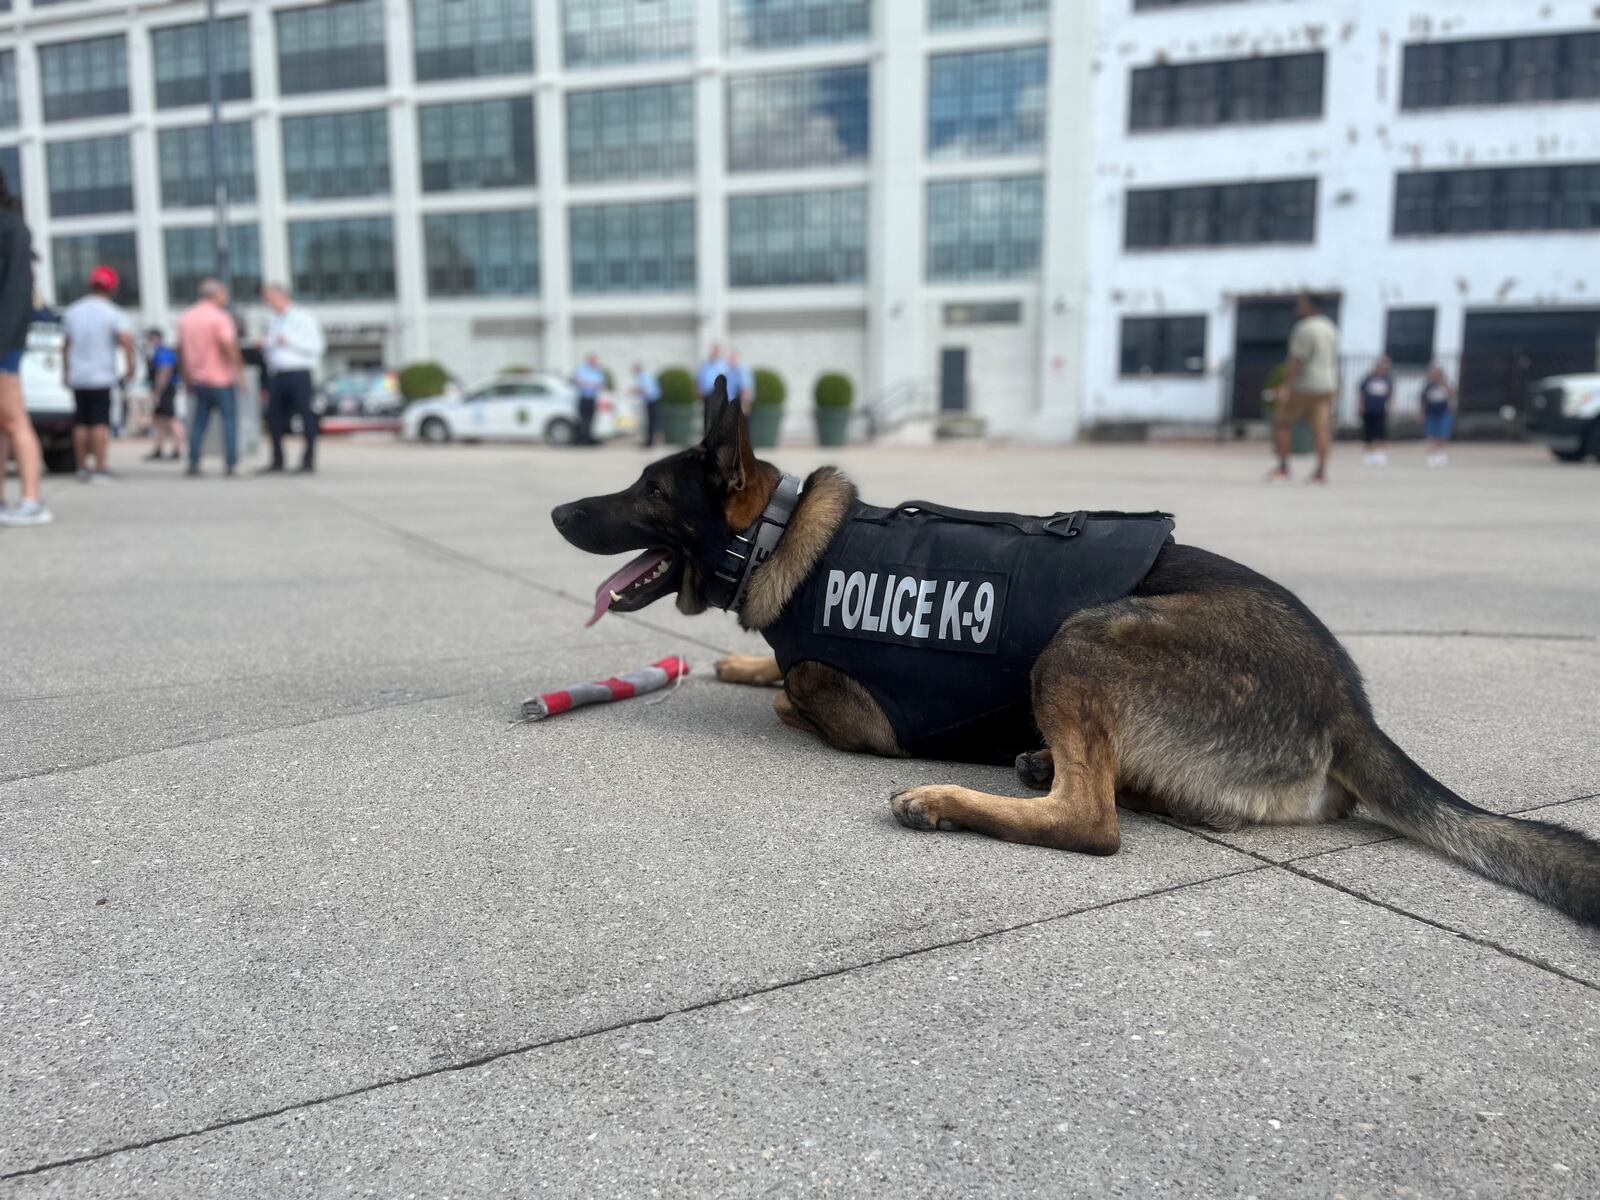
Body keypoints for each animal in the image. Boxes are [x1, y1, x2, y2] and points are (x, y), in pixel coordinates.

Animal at [553, 385, 1600, 928]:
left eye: (646, 491)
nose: (559, 510)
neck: (778, 536)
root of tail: (1349, 703)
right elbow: (767, 672)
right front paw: (738, 665)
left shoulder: (862, 716)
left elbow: (793, 692)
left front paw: (761, 678)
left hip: (1085, 636)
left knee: (1091, 823)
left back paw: (953, 799)